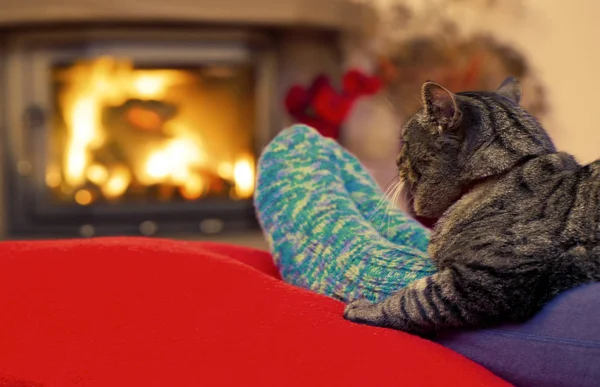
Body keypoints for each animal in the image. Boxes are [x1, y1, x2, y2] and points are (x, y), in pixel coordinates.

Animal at [342, 76, 600, 336]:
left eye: (405, 141)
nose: (396, 161)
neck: (500, 175)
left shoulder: (482, 280)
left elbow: (411, 301)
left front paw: (365, 309)